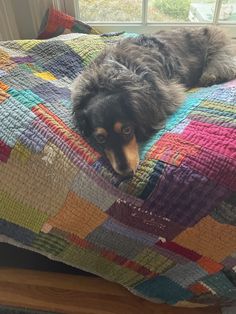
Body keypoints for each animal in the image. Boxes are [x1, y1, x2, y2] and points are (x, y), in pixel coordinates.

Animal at [71, 27, 236, 177]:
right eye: (100, 138)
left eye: (127, 130)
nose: (126, 173)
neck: (105, 83)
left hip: (219, 50)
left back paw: (210, 76)